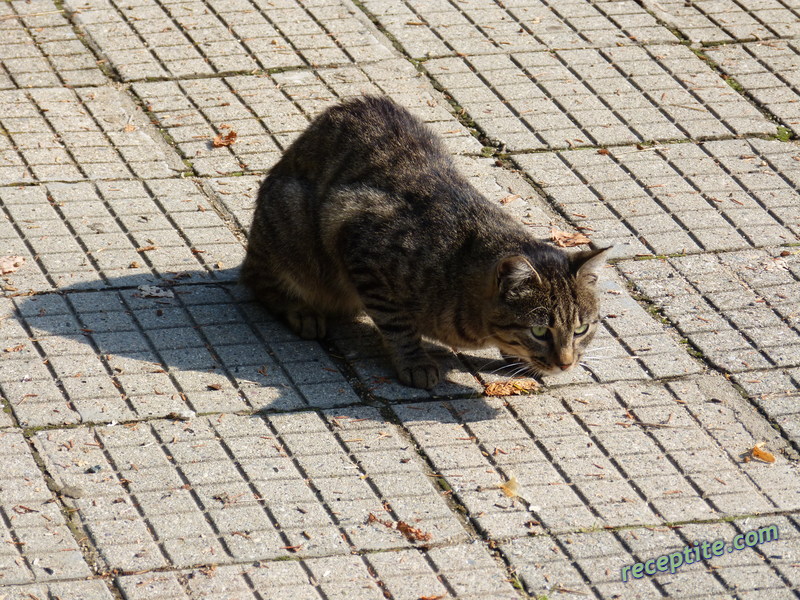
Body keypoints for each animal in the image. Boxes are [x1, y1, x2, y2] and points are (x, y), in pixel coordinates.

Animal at [241, 96, 608, 390]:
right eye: (539, 331)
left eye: (581, 329)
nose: (566, 363)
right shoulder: (358, 237)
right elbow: (398, 325)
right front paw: (415, 362)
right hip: (291, 227)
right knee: (257, 280)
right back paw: (301, 310)